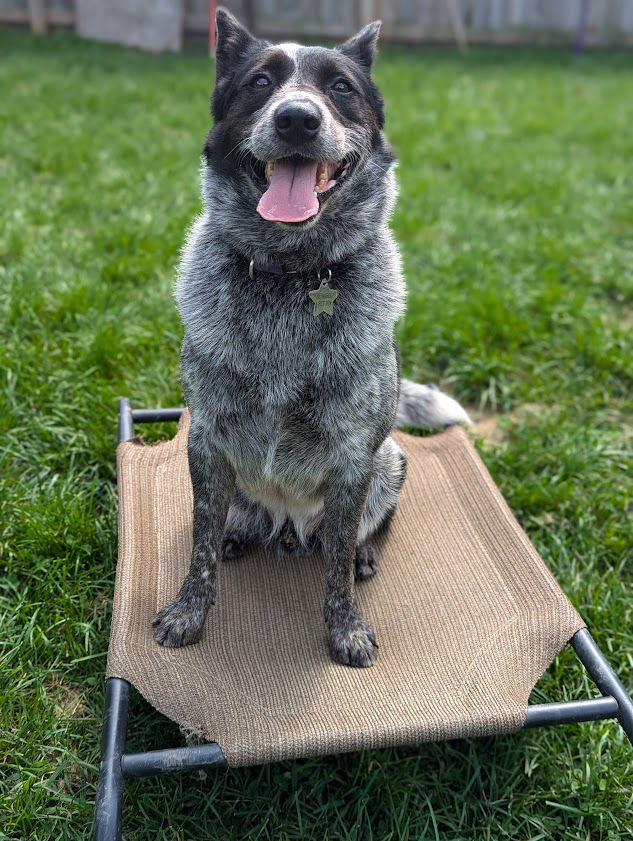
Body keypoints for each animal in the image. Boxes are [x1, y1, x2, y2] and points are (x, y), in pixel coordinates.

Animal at [152, 6, 470, 664]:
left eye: (341, 88)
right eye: (259, 83)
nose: (297, 118)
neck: (292, 275)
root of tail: (289, 527)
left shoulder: (353, 460)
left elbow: (338, 571)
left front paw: (345, 629)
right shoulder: (207, 443)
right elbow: (198, 547)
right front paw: (189, 612)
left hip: (390, 461)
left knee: (351, 539)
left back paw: (363, 554)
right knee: (231, 526)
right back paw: (239, 537)